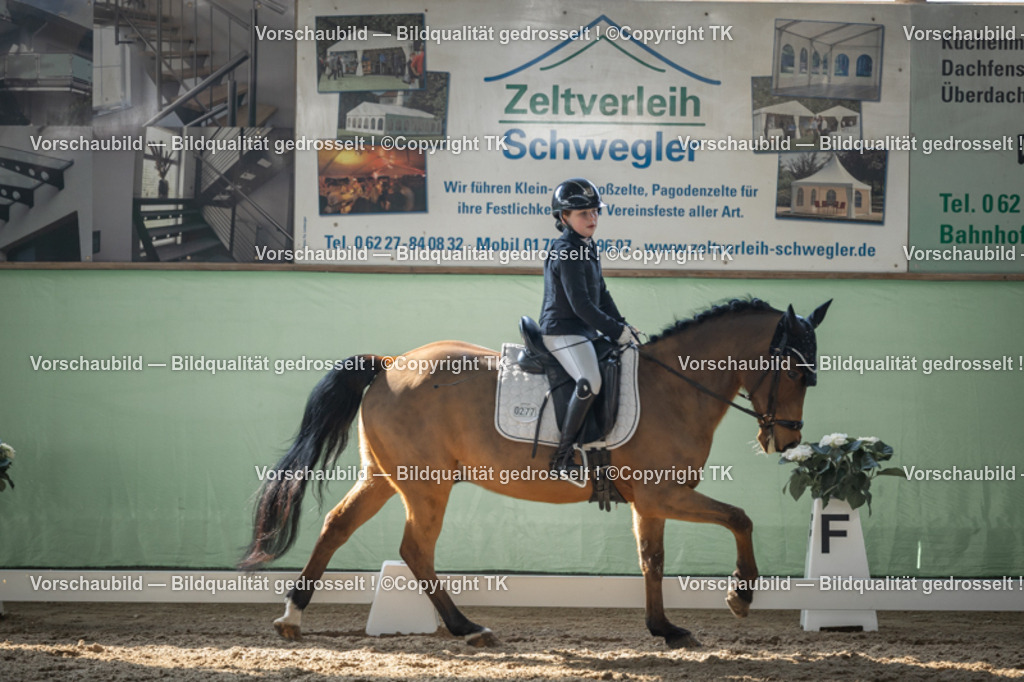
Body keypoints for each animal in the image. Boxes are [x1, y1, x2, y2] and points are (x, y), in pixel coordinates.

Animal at [240, 298, 832, 649]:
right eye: (794, 371)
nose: (788, 441)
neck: (676, 388)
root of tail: (390, 364)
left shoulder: (651, 504)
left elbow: (653, 561)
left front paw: (664, 628)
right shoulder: (664, 495)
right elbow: (740, 518)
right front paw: (740, 596)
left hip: (385, 477)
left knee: (338, 525)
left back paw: (293, 616)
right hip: (426, 485)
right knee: (414, 550)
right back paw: (467, 627)